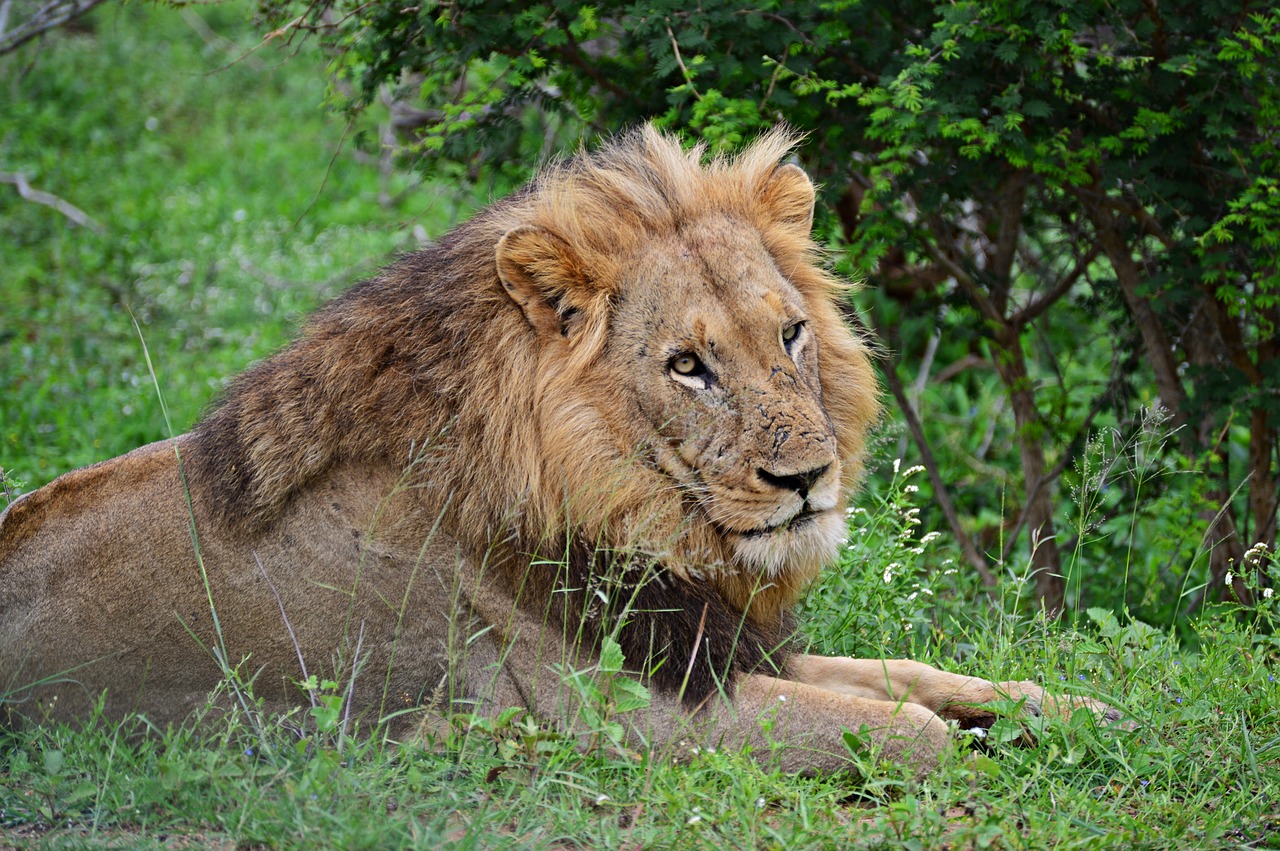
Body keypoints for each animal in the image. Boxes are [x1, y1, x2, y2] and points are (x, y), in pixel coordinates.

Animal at [0, 127, 1121, 778]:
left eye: (792, 334)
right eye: (687, 366)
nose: (807, 479)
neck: (631, 511)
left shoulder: (715, 643)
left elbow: (920, 673)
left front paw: (1079, 708)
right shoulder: (619, 710)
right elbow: (900, 725)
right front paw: (983, 752)